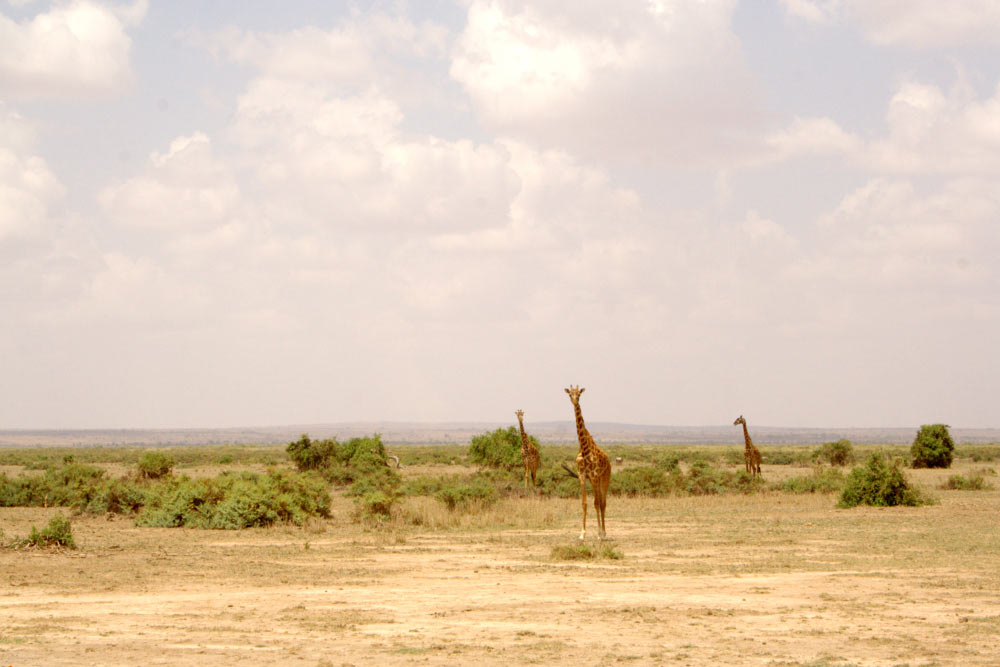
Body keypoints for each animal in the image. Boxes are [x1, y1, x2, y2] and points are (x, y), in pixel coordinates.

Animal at [564, 388, 608, 540]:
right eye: (570, 394)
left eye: (579, 394)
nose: (575, 401)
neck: (584, 449)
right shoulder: (582, 477)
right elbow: (584, 503)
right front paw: (582, 534)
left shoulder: (594, 477)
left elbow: (597, 503)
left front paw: (599, 534)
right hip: (596, 481)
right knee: (599, 502)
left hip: (604, 479)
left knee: (602, 503)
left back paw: (604, 533)